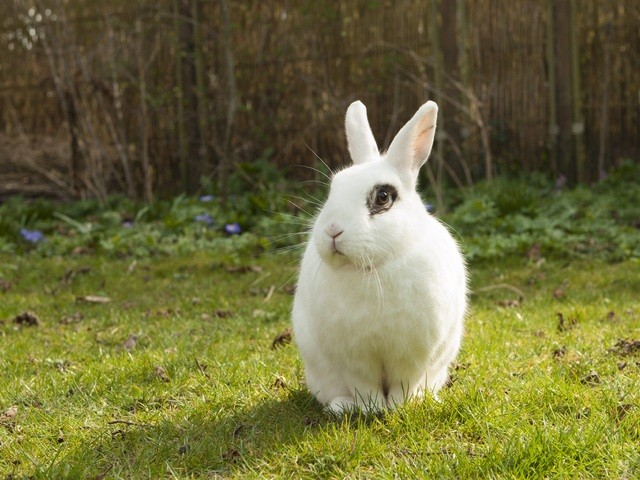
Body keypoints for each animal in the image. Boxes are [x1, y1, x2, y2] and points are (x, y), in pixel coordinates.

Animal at [292, 100, 468, 412]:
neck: (373, 268)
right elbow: (365, 386)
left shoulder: (411, 355)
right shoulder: (355, 359)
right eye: (333, 188)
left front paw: (399, 406)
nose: (333, 230)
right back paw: (341, 406)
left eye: (383, 197)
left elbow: (403, 383)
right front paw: (371, 409)